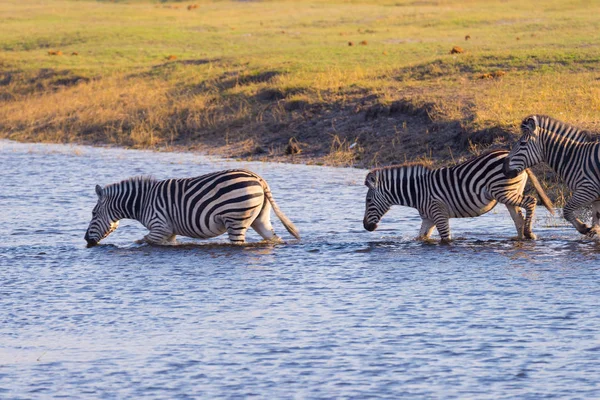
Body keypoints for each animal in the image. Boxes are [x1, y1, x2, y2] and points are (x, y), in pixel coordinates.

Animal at [84, 167, 300, 245]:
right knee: (274, 238)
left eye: (93, 213)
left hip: (236, 218)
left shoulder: (160, 227)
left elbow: (142, 241)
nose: (86, 240)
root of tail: (258, 178)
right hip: (259, 219)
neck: (142, 202)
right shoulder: (169, 232)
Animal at [360, 150, 552, 244]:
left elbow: (446, 238)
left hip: (504, 192)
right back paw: (522, 237)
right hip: (509, 194)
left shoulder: (439, 213)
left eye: (368, 201)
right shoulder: (428, 218)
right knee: (518, 219)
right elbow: (421, 237)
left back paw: (529, 233)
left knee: (531, 201)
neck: (418, 192)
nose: (366, 227)